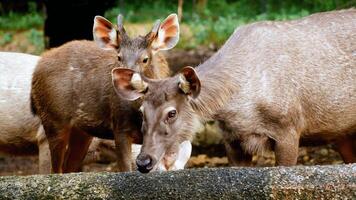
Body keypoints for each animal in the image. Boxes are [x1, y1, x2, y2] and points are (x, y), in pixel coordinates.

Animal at [29, 14, 181, 173]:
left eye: (145, 59)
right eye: (119, 57)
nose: (125, 79)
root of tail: (36, 70)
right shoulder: (120, 125)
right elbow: (125, 168)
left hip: (81, 131)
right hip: (53, 117)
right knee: (55, 168)